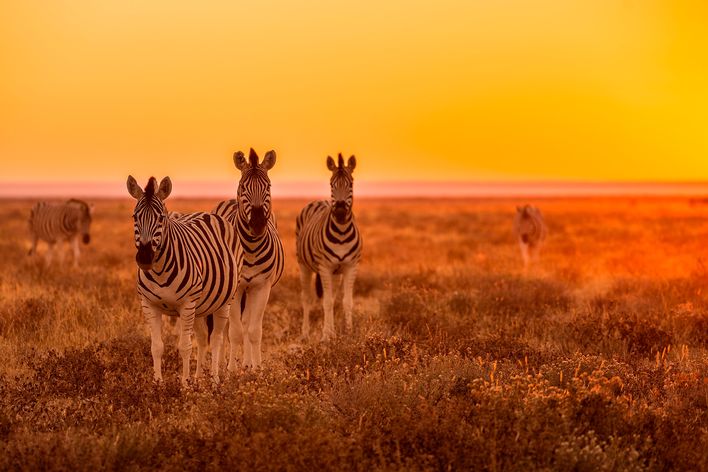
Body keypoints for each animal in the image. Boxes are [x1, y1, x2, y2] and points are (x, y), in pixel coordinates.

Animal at [129, 175, 245, 382]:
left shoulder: (186, 304)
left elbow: (184, 347)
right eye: (135, 217)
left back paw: (214, 380)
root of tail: (208, 214)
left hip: (224, 301)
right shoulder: (149, 305)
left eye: (161, 218)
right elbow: (156, 347)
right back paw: (199, 379)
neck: (159, 271)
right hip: (200, 306)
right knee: (202, 337)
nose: (144, 258)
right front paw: (158, 383)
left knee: (216, 339)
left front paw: (185, 384)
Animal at [213, 149, 284, 370]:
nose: (258, 224)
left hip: (250, 290)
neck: (251, 248)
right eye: (243, 187)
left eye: (268, 186)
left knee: (246, 323)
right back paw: (222, 363)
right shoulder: (236, 289)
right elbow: (234, 331)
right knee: (225, 327)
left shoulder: (262, 287)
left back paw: (247, 364)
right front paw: (230, 370)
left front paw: (257, 368)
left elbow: (253, 330)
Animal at [296, 153, 362, 342]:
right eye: (332, 184)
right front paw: (326, 336)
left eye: (351, 184)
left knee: (331, 297)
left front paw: (348, 332)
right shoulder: (325, 267)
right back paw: (305, 334)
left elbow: (346, 301)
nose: (339, 212)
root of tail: (319, 200)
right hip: (304, 265)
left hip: (335, 273)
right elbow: (326, 302)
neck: (341, 233)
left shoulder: (350, 266)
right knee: (307, 298)